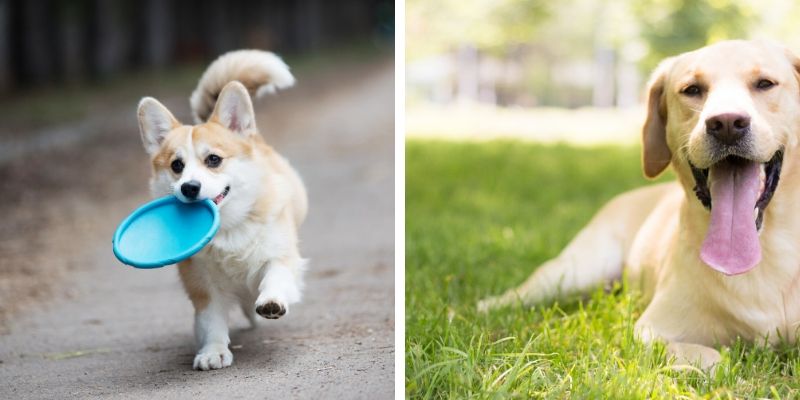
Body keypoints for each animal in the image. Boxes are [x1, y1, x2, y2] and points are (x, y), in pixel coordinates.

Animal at [136, 50, 308, 372]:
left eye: (213, 159)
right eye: (176, 165)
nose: (189, 187)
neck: (227, 229)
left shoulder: (280, 255)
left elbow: (275, 276)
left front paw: (272, 300)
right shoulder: (203, 286)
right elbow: (211, 321)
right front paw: (213, 351)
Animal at [478, 40, 800, 368]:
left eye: (764, 84)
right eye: (692, 89)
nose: (726, 124)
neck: (766, 251)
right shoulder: (650, 330)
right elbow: (711, 358)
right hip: (575, 270)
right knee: (523, 293)